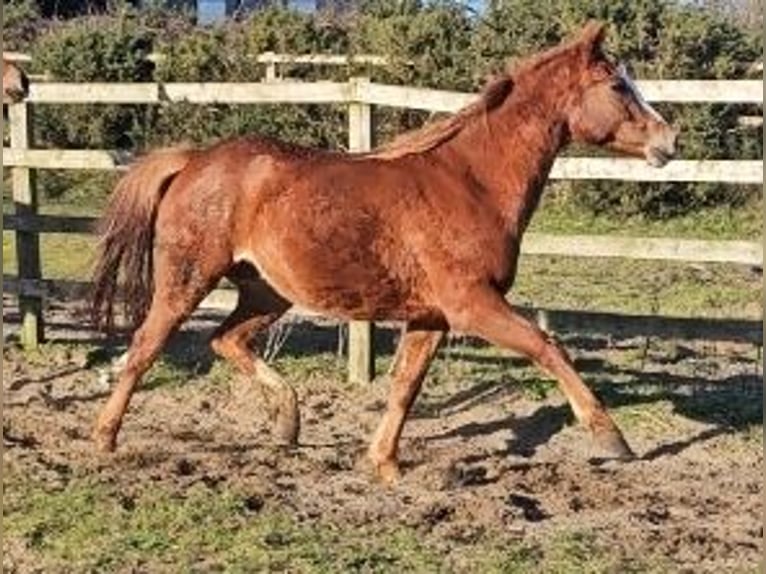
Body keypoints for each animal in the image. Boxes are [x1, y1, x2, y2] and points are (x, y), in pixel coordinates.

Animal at [91, 22, 678, 484]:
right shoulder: (471, 305)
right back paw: (105, 439)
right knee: (144, 348)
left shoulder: (431, 316)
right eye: (616, 84)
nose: (668, 142)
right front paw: (611, 438)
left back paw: (288, 421)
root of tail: (192, 161)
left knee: (225, 339)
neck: (472, 183)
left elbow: (404, 386)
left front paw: (384, 463)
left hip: (266, 291)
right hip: (187, 280)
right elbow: (547, 347)